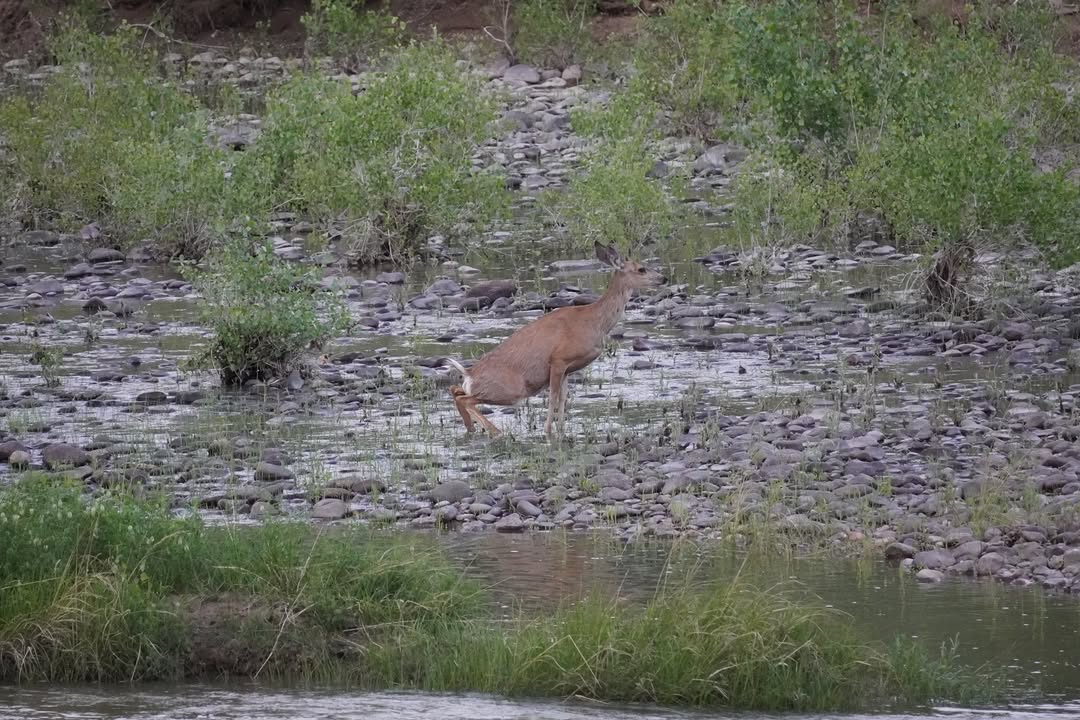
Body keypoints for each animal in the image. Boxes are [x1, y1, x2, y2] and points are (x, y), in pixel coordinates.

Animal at [441, 241, 667, 439]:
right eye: (641, 269)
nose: (664, 278)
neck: (593, 321)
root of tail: (469, 373)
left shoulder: (568, 368)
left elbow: (563, 398)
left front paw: (561, 430)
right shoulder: (558, 360)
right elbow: (553, 398)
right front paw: (548, 431)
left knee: (456, 391)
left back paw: (472, 430)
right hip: (511, 390)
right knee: (466, 399)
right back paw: (496, 432)